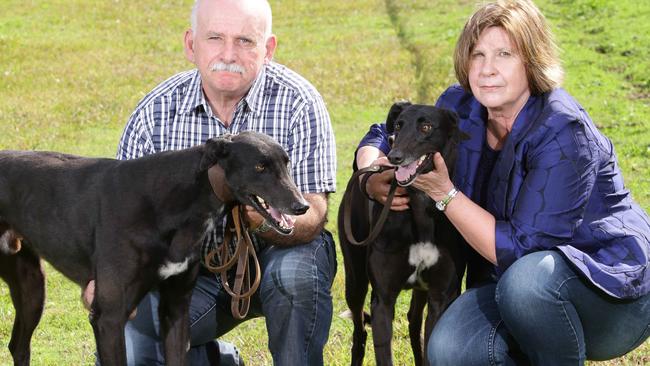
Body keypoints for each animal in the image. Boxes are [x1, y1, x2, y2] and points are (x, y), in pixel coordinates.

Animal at [0, 132, 308, 366]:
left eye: (287, 163)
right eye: (260, 167)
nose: (301, 206)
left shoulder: (176, 309)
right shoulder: (109, 317)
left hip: (31, 288)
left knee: (18, 346)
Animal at [336, 102, 468, 366]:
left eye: (426, 127)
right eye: (398, 125)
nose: (394, 157)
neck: (420, 209)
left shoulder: (441, 296)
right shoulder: (383, 300)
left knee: (414, 324)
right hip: (355, 279)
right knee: (359, 331)